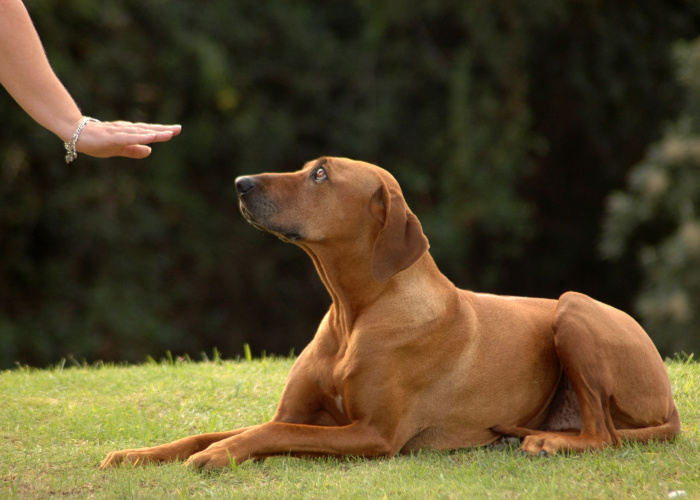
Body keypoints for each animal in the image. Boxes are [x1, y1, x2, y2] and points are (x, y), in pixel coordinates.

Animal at [98, 156, 680, 468]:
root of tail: (670, 400)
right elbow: (212, 432)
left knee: (604, 434)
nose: (241, 184)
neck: (353, 313)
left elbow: (266, 435)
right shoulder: (296, 412)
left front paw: (220, 456)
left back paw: (547, 442)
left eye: (320, 175)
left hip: (573, 308)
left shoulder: (373, 435)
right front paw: (136, 455)